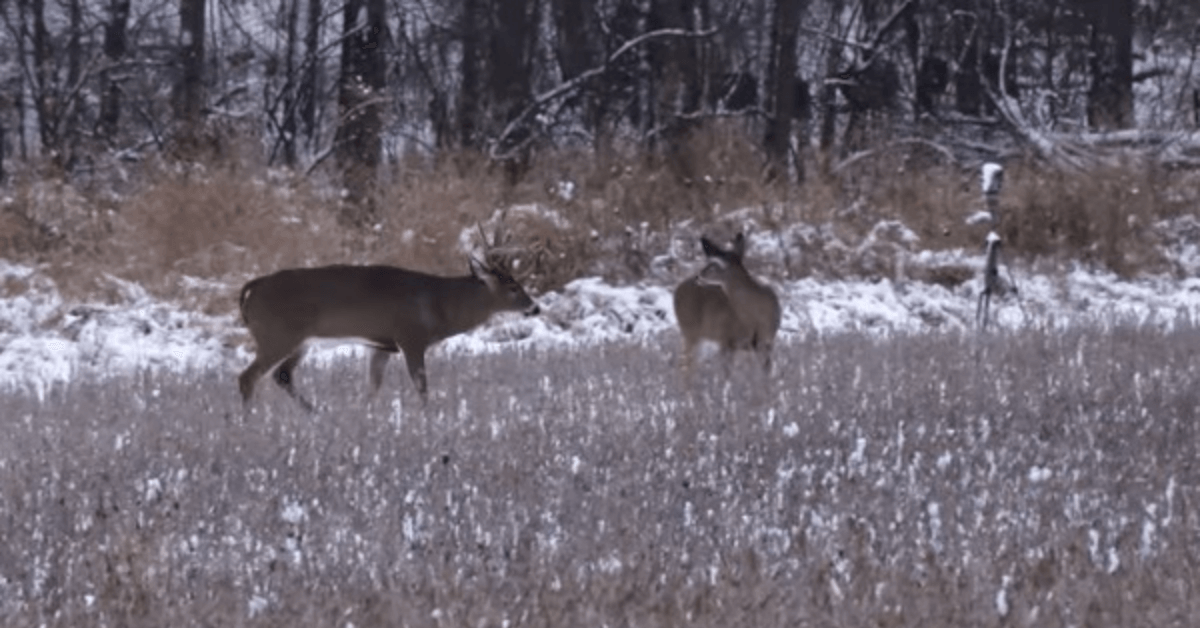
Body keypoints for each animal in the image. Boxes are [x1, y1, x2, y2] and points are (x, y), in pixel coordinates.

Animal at [237, 234, 539, 411]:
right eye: (513, 287)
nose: (535, 308)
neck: (439, 304)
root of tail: (253, 287)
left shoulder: (381, 345)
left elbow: (373, 389)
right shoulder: (411, 337)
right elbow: (422, 388)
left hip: (300, 342)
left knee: (282, 375)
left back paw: (316, 413)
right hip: (277, 335)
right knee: (248, 377)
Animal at [673, 232, 782, 377]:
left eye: (713, 264)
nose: (698, 276)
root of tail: (678, 288)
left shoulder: (766, 341)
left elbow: (765, 372)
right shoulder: (726, 339)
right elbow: (726, 374)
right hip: (690, 331)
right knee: (686, 365)